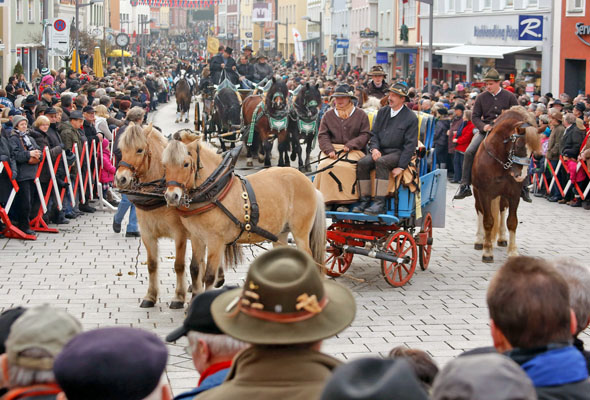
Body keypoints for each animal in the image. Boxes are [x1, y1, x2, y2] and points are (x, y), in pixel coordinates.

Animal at [114, 125, 223, 310]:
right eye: (121, 150)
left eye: (139, 150)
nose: (121, 178)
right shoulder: (147, 234)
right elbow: (152, 265)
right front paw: (150, 296)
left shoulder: (180, 234)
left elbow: (179, 265)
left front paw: (178, 297)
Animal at [162, 138, 328, 288]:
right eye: (165, 165)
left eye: (186, 164)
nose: (171, 196)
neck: (215, 190)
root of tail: (310, 184)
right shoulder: (197, 238)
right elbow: (195, 271)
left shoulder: (216, 241)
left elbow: (209, 276)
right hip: (280, 233)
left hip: (300, 233)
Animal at [474, 106, 544, 262]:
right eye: (519, 146)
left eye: (533, 152)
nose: (521, 176)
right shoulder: (485, 193)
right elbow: (488, 220)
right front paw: (487, 251)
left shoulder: (513, 195)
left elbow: (512, 221)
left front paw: (512, 251)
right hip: (477, 192)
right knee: (480, 211)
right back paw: (480, 240)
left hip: (502, 196)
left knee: (502, 210)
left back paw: (501, 238)